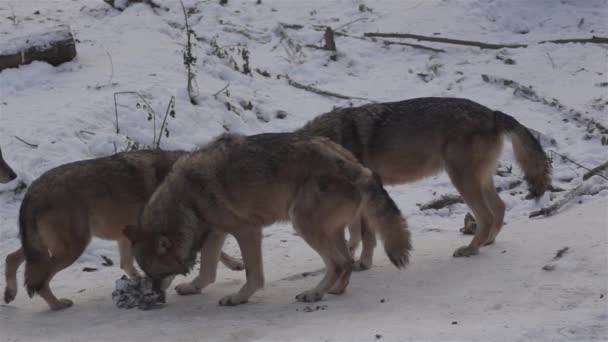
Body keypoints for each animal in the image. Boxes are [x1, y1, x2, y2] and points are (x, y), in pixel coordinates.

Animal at [122, 132, 408, 306]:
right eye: (148, 274)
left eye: (158, 274)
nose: (155, 298)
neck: (186, 201)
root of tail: (357, 167)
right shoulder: (216, 233)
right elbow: (208, 271)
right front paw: (193, 287)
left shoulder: (247, 230)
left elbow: (253, 275)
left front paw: (238, 298)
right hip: (329, 230)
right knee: (347, 261)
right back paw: (335, 290)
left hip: (302, 223)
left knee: (338, 263)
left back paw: (314, 293)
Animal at [296, 97, 552, 266]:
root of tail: (491, 113)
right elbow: (355, 231)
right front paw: (350, 252)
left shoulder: (369, 191)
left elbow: (367, 234)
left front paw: (363, 263)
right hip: (479, 180)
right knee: (499, 207)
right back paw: (486, 242)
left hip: (461, 179)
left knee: (487, 215)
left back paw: (470, 249)